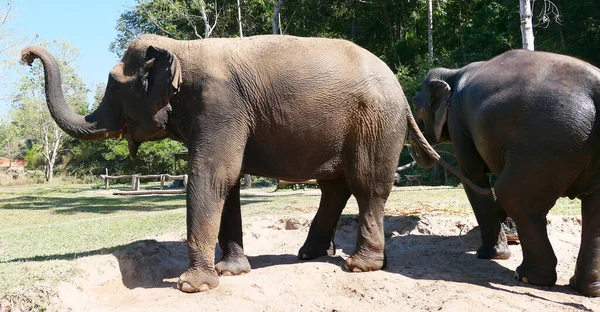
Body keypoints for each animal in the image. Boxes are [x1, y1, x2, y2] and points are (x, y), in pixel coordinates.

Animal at [21, 35, 486, 294]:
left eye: (115, 86)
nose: (26, 55)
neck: (182, 50)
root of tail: (403, 95)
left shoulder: (219, 106)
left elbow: (212, 176)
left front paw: (194, 286)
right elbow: (227, 182)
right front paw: (231, 272)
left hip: (375, 123)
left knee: (367, 185)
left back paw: (359, 265)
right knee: (336, 186)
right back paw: (310, 255)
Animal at [412, 49, 600, 298]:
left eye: (416, 106)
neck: (452, 72)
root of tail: (596, 87)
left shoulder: (458, 120)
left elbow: (473, 176)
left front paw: (489, 254)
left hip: (546, 143)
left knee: (513, 195)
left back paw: (527, 277)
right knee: (594, 209)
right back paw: (585, 288)